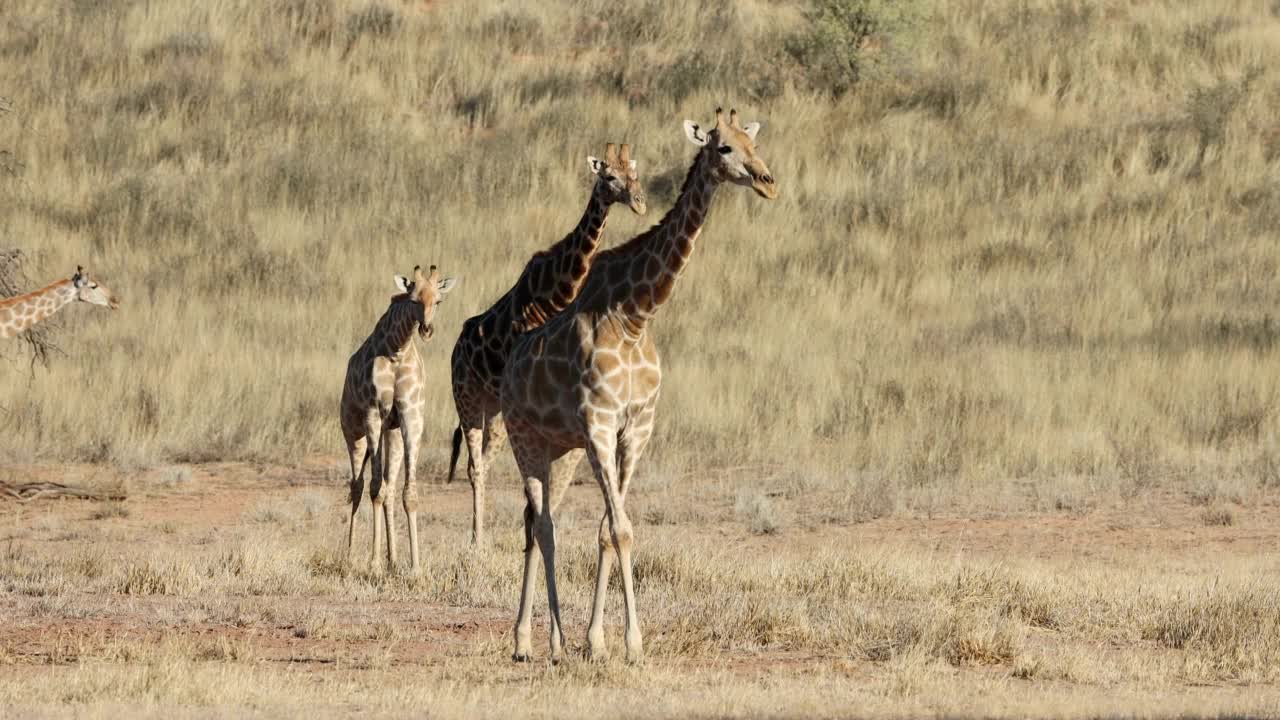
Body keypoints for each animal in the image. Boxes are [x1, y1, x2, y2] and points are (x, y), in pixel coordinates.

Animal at [343, 263, 458, 571]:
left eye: (438, 301)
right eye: (414, 299)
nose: (427, 330)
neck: (397, 349)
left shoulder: (411, 417)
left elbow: (408, 494)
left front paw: (414, 566)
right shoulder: (373, 413)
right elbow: (375, 489)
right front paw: (372, 563)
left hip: (391, 434)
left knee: (390, 488)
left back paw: (392, 559)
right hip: (353, 431)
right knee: (358, 485)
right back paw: (349, 555)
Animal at [450, 140, 650, 543]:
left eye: (634, 173)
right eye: (609, 176)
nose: (638, 201)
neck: (555, 291)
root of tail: (454, 351)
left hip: (495, 410)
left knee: (486, 463)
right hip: (468, 400)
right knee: (474, 466)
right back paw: (477, 539)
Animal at [499, 107, 778, 661]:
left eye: (752, 143)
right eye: (723, 148)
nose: (766, 181)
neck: (635, 316)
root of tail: (512, 359)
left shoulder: (637, 428)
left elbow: (610, 531)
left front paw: (599, 641)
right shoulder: (600, 425)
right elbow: (621, 529)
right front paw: (632, 643)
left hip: (561, 449)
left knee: (538, 522)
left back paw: (543, 641)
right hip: (525, 439)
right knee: (542, 524)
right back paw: (537, 642)